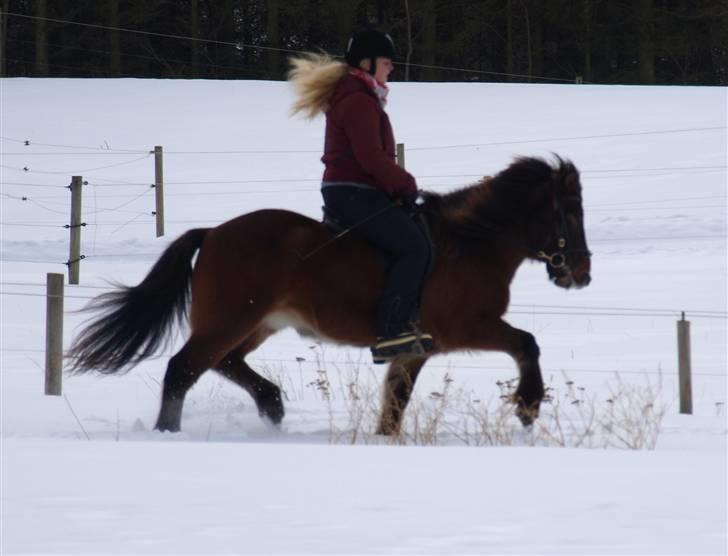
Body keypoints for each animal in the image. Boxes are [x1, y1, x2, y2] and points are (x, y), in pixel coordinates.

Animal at [68, 155, 592, 434]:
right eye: (568, 212)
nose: (582, 274)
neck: (472, 242)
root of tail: (213, 232)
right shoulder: (468, 327)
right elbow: (526, 344)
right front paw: (528, 405)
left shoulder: (415, 350)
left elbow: (395, 405)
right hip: (231, 319)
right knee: (183, 369)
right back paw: (170, 432)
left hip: (257, 323)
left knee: (224, 363)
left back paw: (272, 405)